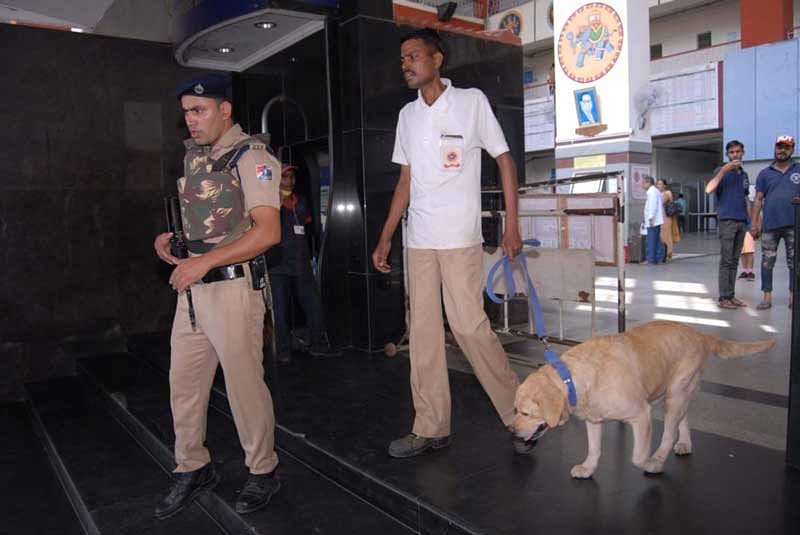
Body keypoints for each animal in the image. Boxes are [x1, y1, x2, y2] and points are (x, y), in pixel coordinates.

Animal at [512, 320, 776, 480]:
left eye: (526, 413)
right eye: (514, 410)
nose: (511, 431)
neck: (572, 378)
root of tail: (700, 334)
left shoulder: (641, 415)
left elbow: (638, 457)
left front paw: (650, 463)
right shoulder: (594, 420)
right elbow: (594, 448)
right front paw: (588, 467)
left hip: (675, 393)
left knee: (669, 432)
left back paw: (659, 457)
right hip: (676, 393)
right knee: (683, 418)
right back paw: (685, 443)